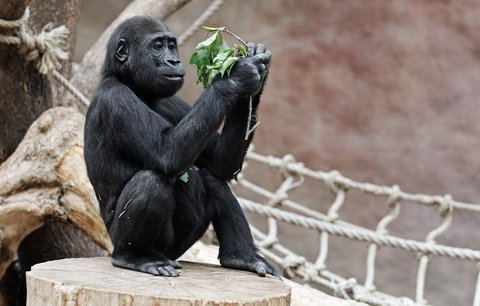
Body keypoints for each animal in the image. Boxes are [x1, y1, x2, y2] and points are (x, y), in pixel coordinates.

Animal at [83, 16, 278, 278]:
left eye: (172, 46)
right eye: (157, 46)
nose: (174, 60)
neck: (134, 85)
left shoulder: (173, 101)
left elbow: (220, 163)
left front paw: (258, 68)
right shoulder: (115, 100)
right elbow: (166, 153)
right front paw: (236, 77)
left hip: (176, 250)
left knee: (213, 181)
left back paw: (241, 256)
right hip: (128, 243)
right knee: (152, 181)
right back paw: (134, 256)